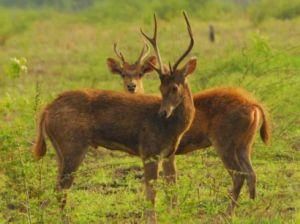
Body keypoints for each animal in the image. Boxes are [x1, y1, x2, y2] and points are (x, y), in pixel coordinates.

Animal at [32, 12, 197, 224]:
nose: (162, 113)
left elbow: (172, 191)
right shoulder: (149, 151)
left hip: (60, 149)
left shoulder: (169, 154)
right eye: (161, 88)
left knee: (57, 187)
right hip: (72, 145)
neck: (173, 130)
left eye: (174, 87)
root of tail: (46, 110)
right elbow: (151, 193)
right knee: (61, 188)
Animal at [108, 14, 272, 215]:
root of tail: (255, 105)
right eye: (122, 74)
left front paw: (173, 212)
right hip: (245, 144)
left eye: (140, 73)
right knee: (251, 174)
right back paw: (251, 208)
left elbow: (171, 183)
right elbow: (171, 182)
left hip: (224, 142)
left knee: (239, 175)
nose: (131, 86)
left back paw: (226, 214)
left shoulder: (168, 151)